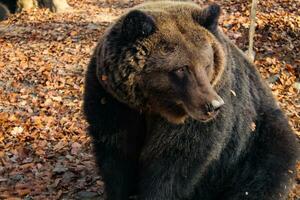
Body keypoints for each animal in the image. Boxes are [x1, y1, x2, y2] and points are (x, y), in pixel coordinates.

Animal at [83, 0, 298, 199]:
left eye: (206, 63)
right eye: (181, 68)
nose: (213, 105)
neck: (154, 106)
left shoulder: (200, 115)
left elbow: (174, 162)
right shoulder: (114, 102)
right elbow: (117, 155)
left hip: (258, 135)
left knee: (265, 172)